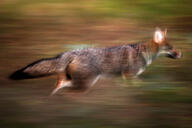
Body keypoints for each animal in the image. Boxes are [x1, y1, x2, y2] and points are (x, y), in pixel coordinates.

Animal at [9, 28, 182, 96]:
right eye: (171, 48)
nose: (181, 53)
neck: (144, 53)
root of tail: (72, 51)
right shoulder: (129, 75)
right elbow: (139, 85)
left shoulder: (125, 77)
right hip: (86, 83)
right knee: (67, 91)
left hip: (75, 80)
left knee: (59, 84)